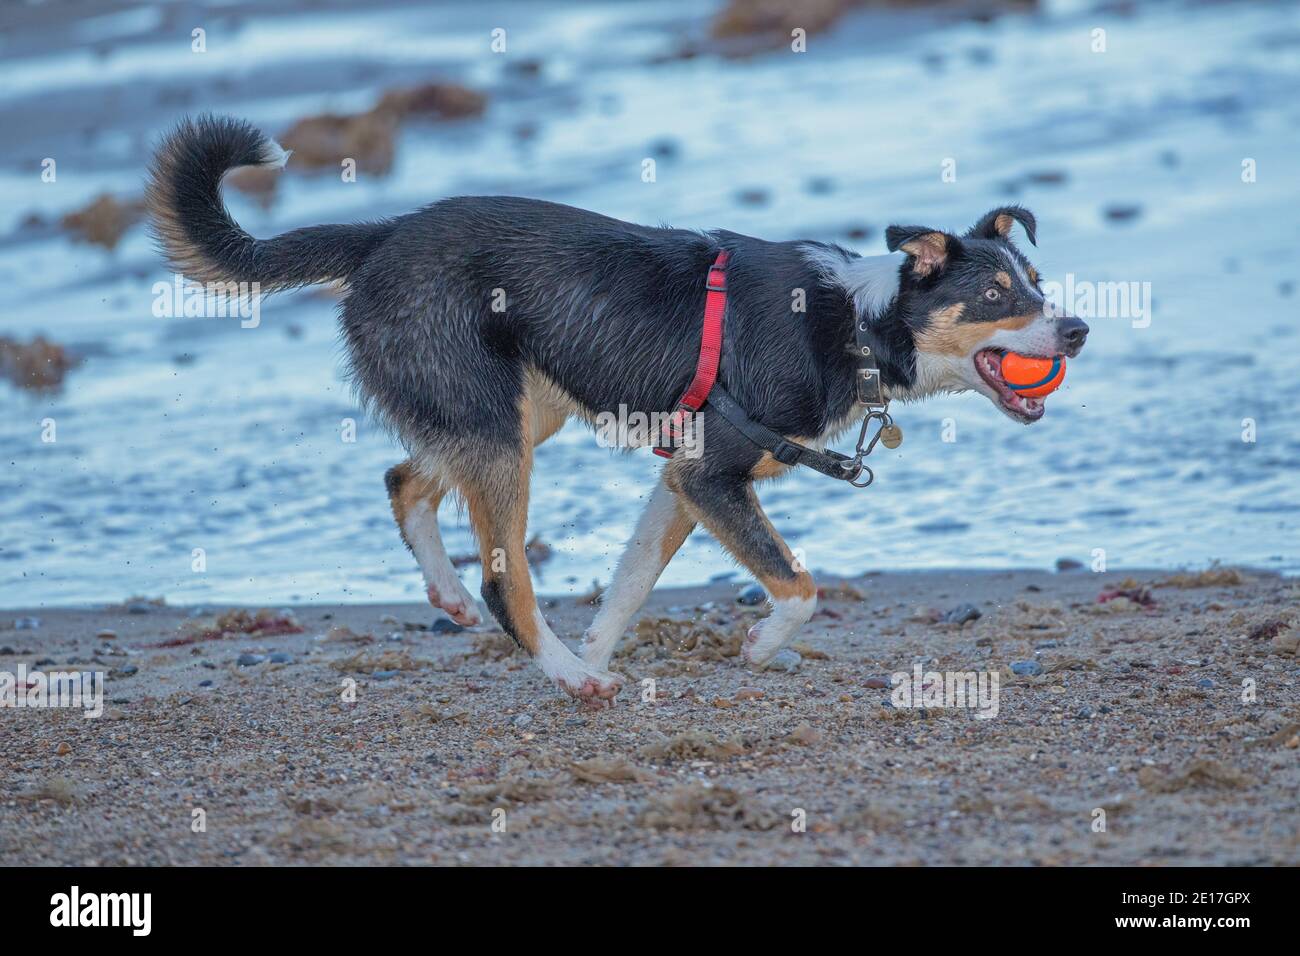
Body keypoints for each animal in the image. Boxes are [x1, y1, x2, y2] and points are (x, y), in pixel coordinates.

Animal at [147, 113, 1086, 712]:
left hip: (514, 411)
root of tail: (382, 236)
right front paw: (757, 647)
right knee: (503, 576)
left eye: (1036, 283)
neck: (853, 321)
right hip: (497, 429)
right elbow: (798, 585)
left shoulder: (681, 484)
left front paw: (598, 648)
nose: (1076, 329)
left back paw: (463, 604)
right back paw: (559, 671)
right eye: (996, 295)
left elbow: (626, 590)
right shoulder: (712, 480)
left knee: (404, 479)